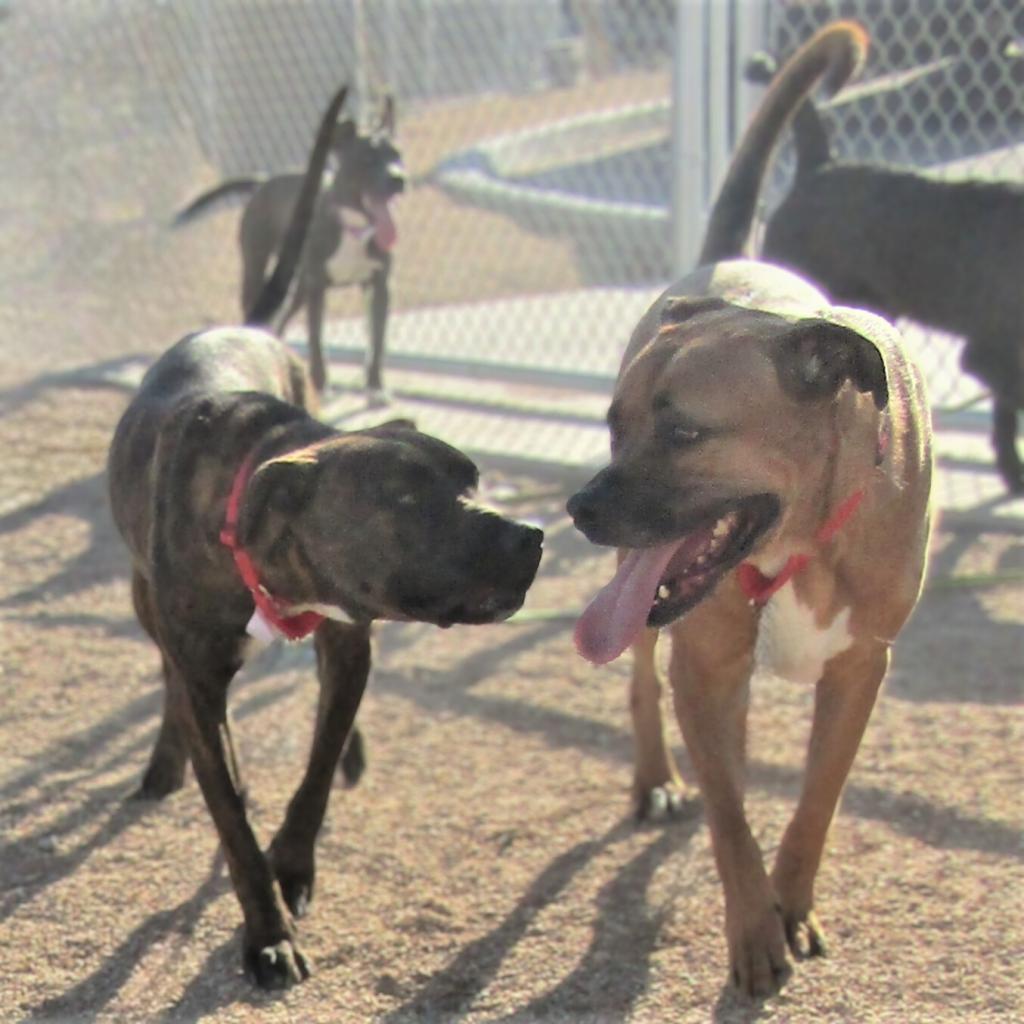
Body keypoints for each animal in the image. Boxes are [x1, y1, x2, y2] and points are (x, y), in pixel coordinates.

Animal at [174, 96, 401, 397]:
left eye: (397, 155)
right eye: (367, 158)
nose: (399, 179)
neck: (353, 227)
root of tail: (264, 180)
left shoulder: (379, 285)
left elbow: (377, 339)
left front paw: (375, 384)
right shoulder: (318, 288)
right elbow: (316, 340)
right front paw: (321, 383)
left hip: (299, 286)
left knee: (281, 319)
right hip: (257, 269)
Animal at [569, 24, 937, 995]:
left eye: (684, 430)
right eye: (614, 424)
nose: (579, 508)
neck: (804, 537)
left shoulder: (861, 670)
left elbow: (815, 801)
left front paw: (793, 904)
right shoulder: (703, 662)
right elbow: (733, 822)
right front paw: (754, 931)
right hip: (656, 616)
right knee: (644, 683)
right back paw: (659, 777)